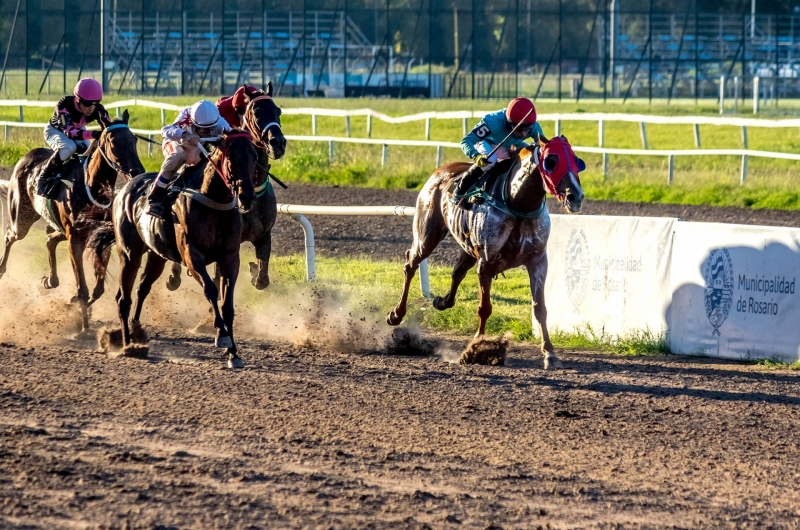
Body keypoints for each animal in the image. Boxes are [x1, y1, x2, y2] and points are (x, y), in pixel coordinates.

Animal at [0, 112, 144, 330]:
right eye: (113, 141)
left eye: (134, 139)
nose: (137, 171)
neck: (91, 187)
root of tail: (27, 155)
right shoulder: (75, 240)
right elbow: (83, 288)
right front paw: (83, 325)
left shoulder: (99, 239)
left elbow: (97, 290)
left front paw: (74, 305)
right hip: (21, 219)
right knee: (10, 236)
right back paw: (1, 269)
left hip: (58, 227)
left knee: (50, 239)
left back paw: (50, 280)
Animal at [92, 129, 258, 368]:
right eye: (232, 159)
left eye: (254, 157)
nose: (246, 196)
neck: (213, 201)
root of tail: (126, 186)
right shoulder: (191, 254)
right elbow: (211, 290)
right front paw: (222, 336)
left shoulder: (230, 258)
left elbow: (228, 304)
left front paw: (233, 354)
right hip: (130, 253)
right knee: (123, 298)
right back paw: (128, 345)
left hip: (157, 256)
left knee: (142, 288)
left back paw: (136, 331)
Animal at [166, 81, 288, 292]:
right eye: (255, 112)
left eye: (278, 111)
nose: (278, 143)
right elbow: (217, 277)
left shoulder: (264, 235)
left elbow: (262, 279)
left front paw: (254, 271)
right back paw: (174, 275)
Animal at [390, 136, 588, 368]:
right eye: (551, 161)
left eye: (576, 160)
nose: (575, 196)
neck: (517, 203)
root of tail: (440, 170)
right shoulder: (485, 263)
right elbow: (484, 308)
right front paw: (477, 347)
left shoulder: (538, 261)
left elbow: (540, 308)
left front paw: (549, 353)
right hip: (427, 234)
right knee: (410, 264)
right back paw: (396, 314)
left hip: (467, 247)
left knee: (457, 272)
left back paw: (442, 301)